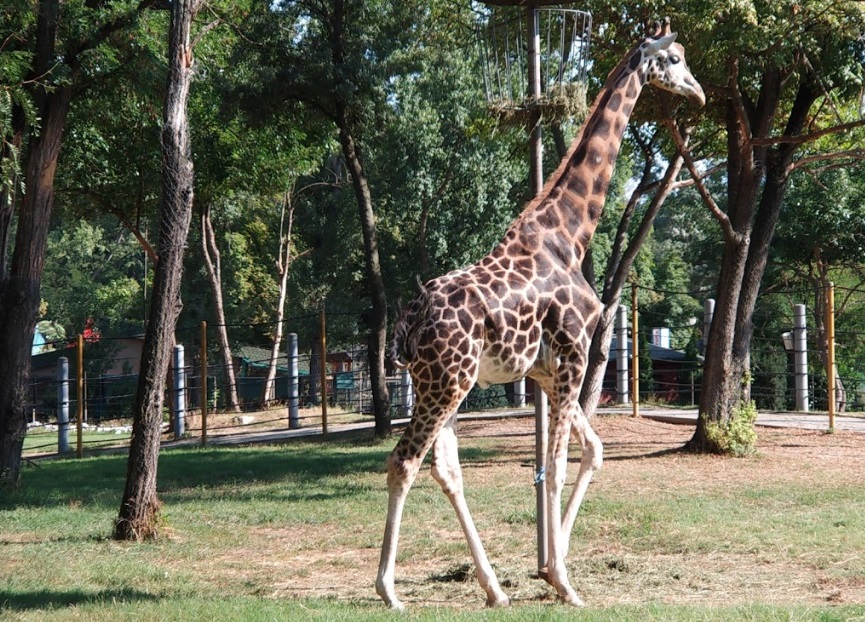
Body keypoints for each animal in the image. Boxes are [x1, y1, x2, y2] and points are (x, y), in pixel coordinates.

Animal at [376, 22, 704, 612]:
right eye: (675, 59)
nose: (699, 93)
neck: (570, 233)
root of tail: (409, 323)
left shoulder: (546, 370)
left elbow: (592, 451)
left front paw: (555, 562)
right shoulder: (574, 353)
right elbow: (553, 467)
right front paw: (564, 581)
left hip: (443, 384)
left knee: (446, 468)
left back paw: (493, 588)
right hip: (447, 382)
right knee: (405, 461)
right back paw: (388, 590)